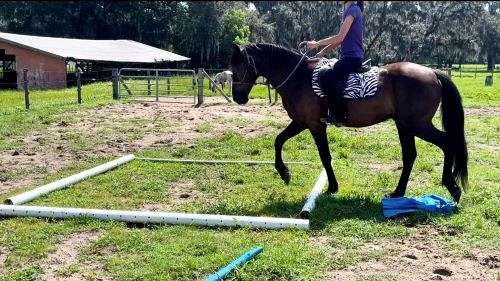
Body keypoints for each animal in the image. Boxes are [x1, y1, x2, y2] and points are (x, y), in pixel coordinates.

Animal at [230, 43, 468, 201]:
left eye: (239, 69)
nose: (238, 98)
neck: (298, 77)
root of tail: (432, 72)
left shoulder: (314, 124)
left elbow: (324, 156)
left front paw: (332, 187)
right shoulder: (300, 122)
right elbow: (278, 140)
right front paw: (284, 173)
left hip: (417, 125)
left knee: (447, 143)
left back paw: (452, 188)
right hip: (405, 125)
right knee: (410, 155)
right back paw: (398, 192)